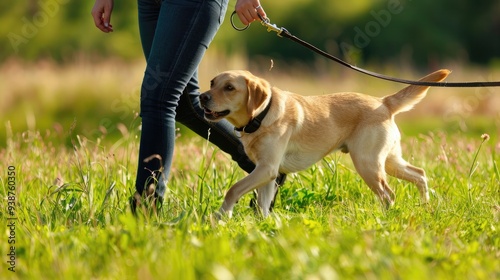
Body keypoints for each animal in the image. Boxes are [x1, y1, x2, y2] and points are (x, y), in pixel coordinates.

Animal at [199, 69, 450, 218]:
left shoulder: (267, 168)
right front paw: (262, 226)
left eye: (229, 87)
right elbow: (263, 205)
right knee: (419, 174)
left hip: (368, 164)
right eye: (212, 82)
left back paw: (386, 219)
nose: (202, 96)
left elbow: (233, 190)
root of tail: (383, 102)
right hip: (389, 161)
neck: (261, 116)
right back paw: (426, 206)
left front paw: (221, 216)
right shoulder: (267, 173)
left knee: (389, 195)